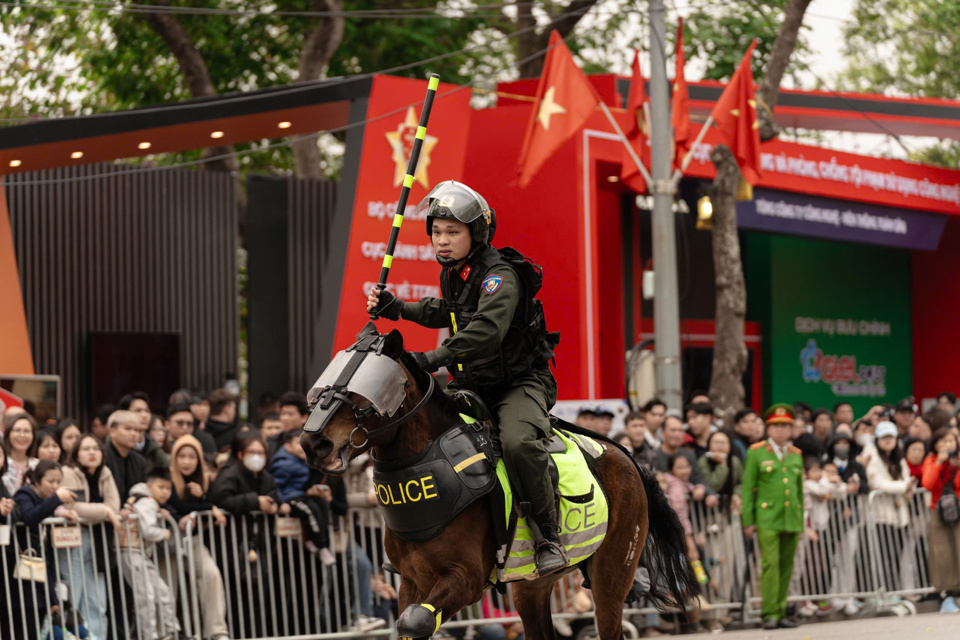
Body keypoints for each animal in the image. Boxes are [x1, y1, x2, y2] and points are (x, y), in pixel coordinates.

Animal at [302, 328, 696, 640]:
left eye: (360, 390)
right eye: (323, 385)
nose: (313, 443)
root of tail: (628, 458)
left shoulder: (466, 578)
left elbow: (415, 622)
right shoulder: (411, 581)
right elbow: (409, 622)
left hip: (612, 575)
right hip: (531, 586)